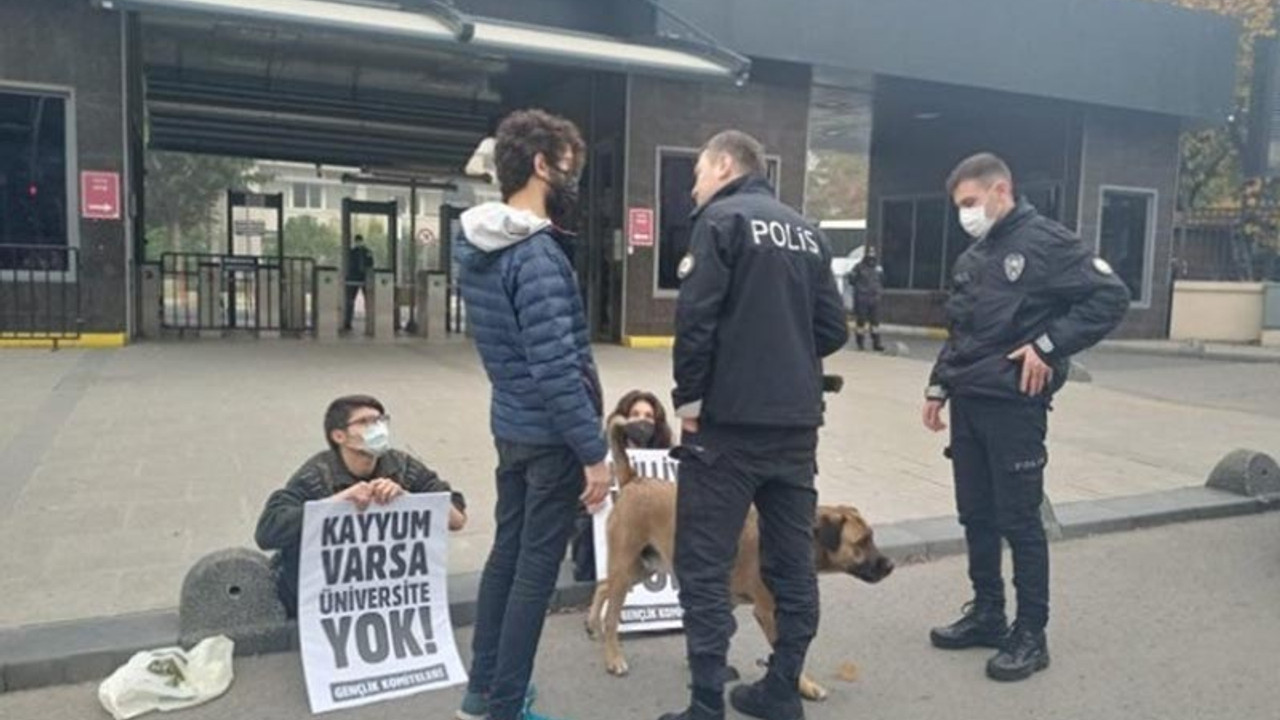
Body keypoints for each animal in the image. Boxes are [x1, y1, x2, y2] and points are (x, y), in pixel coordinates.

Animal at [586, 417, 896, 696]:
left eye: (872, 537)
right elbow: (788, 656)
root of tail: (634, 480)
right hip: (628, 565)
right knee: (612, 615)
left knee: (602, 585)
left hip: (645, 566)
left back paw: (593, 625)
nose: (891, 565)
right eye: (862, 541)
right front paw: (803, 685)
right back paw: (613, 657)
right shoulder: (768, 611)